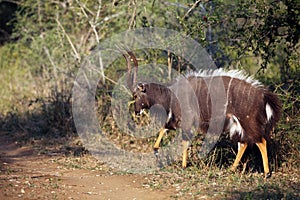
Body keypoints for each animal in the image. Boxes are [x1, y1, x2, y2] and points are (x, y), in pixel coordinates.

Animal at [122, 50, 282, 177]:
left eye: (135, 95)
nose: (136, 111)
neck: (170, 95)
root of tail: (263, 95)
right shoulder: (175, 120)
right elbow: (163, 132)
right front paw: (157, 152)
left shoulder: (186, 121)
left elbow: (184, 141)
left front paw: (183, 165)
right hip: (236, 125)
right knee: (243, 143)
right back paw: (231, 169)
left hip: (248, 121)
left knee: (260, 141)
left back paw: (267, 173)